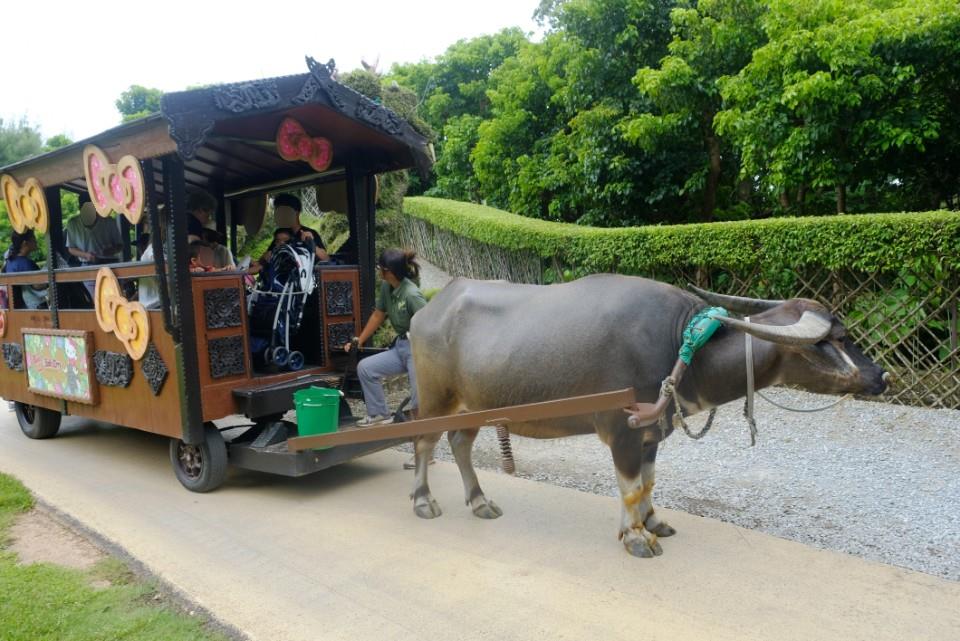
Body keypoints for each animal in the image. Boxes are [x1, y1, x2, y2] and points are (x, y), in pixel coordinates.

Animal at [408, 274, 888, 556]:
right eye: (836, 339)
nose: (882, 376)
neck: (683, 347)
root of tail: (429, 308)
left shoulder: (653, 433)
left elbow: (649, 480)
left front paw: (653, 521)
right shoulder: (621, 430)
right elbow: (629, 484)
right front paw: (636, 536)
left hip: (472, 405)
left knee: (460, 443)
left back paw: (480, 501)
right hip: (436, 399)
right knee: (423, 440)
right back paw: (423, 501)